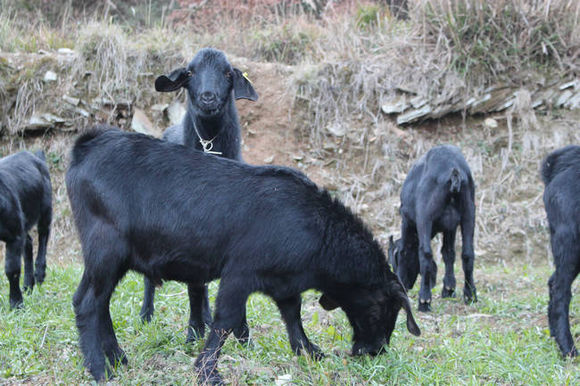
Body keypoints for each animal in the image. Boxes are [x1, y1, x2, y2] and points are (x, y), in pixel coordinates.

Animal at [0, 150, 52, 308]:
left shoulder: (14, 235)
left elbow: (12, 269)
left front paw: (16, 303)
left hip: (45, 208)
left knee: (43, 234)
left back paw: (39, 274)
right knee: (28, 242)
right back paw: (28, 285)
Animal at [67, 126, 422, 382]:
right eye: (381, 307)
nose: (374, 351)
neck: (315, 228)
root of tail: (91, 142)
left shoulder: (284, 282)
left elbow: (292, 316)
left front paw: (309, 351)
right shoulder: (239, 273)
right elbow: (225, 320)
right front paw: (207, 371)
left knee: (101, 303)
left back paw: (117, 358)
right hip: (106, 249)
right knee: (87, 302)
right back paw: (99, 368)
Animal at [139, 46, 258, 338]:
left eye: (227, 73)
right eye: (190, 73)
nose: (207, 97)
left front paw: (242, 335)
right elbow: (195, 286)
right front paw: (193, 333)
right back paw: (147, 315)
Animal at [388, 146, 478, 312]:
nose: (404, 285)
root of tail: (453, 170)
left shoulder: (407, 220)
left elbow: (404, 250)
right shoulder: (451, 228)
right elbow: (448, 253)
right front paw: (449, 289)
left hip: (425, 218)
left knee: (426, 254)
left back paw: (424, 300)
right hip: (469, 214)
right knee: (468, 253)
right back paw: (470, 295)